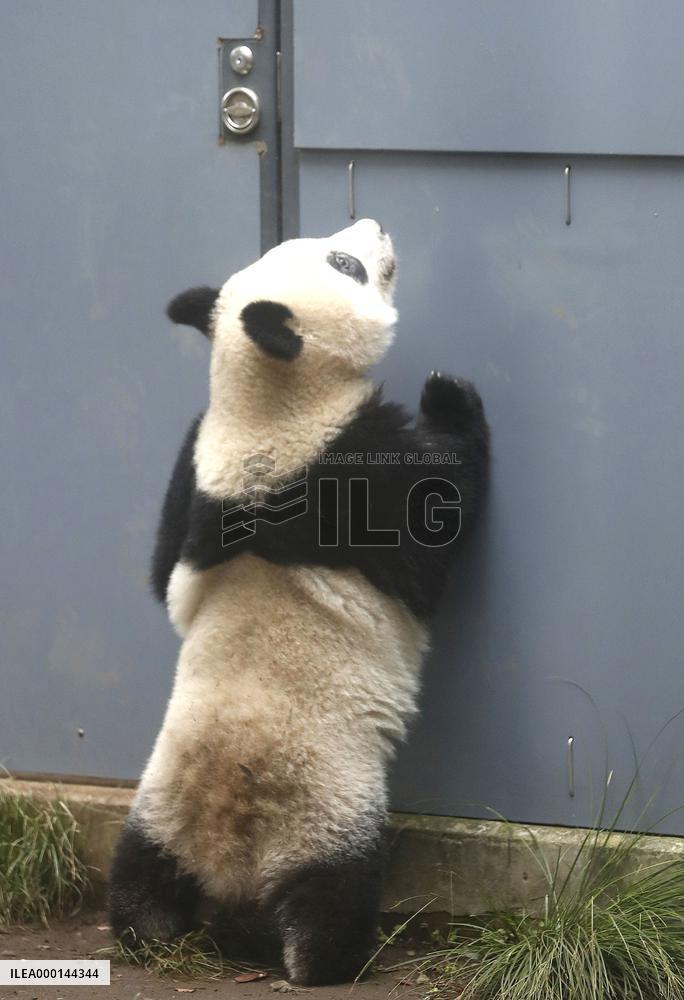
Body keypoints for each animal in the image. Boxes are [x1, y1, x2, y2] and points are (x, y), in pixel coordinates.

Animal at [109, 219, 489, 985]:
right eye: (344, 262)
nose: (374, 225)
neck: (266, 405)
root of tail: (227, 850)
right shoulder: (347, 475)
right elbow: (436, 535)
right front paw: (449, 397)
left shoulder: (199, 484)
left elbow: (164, 579)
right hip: (328, 810)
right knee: (331, 897)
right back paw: (326, 959)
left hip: (156, 805)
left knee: (138, 874)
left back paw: (142, 927)